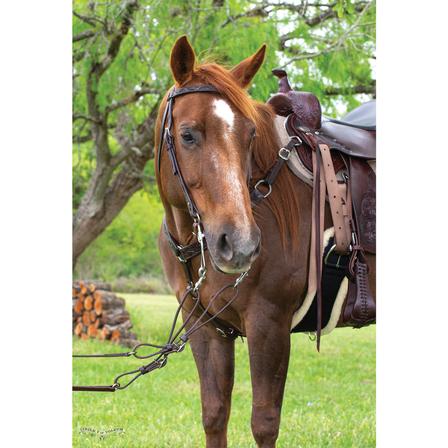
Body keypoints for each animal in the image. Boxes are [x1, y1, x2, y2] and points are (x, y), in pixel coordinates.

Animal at [155, 36, 374, 448]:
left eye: (250, 135)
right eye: (188, 134)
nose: (239, 243)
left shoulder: (268, 323)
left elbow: (264, 423)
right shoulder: (205, 328)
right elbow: (215, 415)